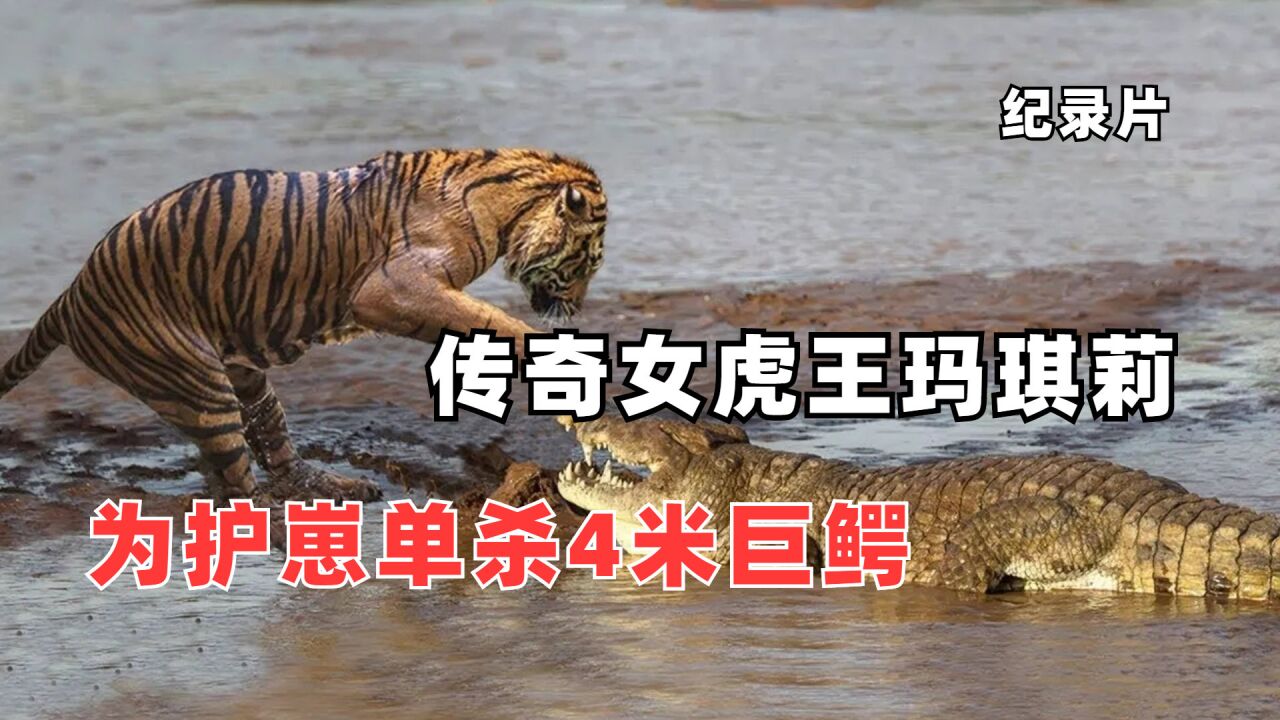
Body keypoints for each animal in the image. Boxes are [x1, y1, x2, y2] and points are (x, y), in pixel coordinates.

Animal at [0, 148, 607, 503]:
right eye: (585, 263)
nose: (575, 307)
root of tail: (69, 295)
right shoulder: (390, 288)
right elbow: (484, 317)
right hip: (198, 387)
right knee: (236, 482)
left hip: (242, 379)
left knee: (270, 444)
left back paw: (337, 486)